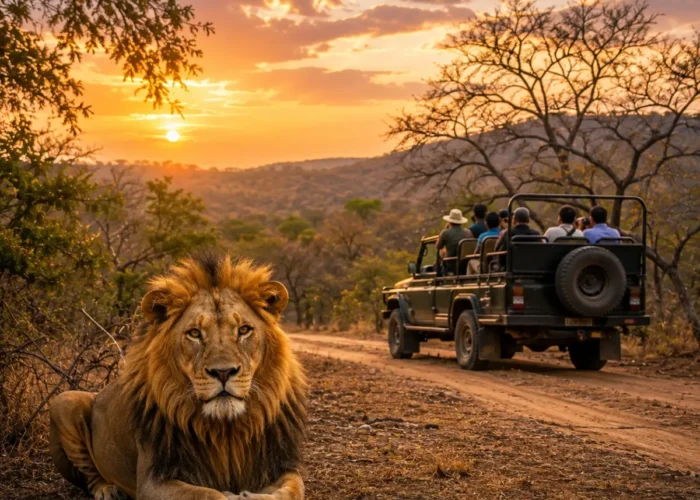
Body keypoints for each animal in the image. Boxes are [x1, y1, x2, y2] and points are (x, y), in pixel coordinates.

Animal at [49, 254, 307, 500]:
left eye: (244, 330)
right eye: (194, 333)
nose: (223, 372)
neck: (226, 430)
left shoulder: (278, 465)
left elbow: (294, 490)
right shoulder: (153, 481)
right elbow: (209, 494)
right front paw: (229, 495)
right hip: (65, 401)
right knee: (89, 476)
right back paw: (108, 490)